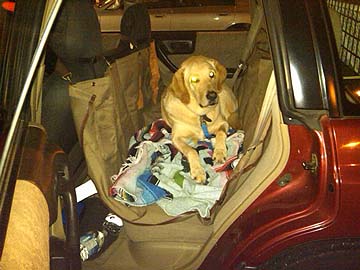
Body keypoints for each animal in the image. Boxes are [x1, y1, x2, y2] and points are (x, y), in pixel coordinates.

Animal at [162, 56, 238, 185]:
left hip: (224, 98)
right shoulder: (176, 138)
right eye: (194, 79)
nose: (212, 96)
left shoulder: (223, 123)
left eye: (212, 74)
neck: (200, 115)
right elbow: (191, 151)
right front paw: (198, 171)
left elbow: (221, 133)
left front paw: (219, 152)